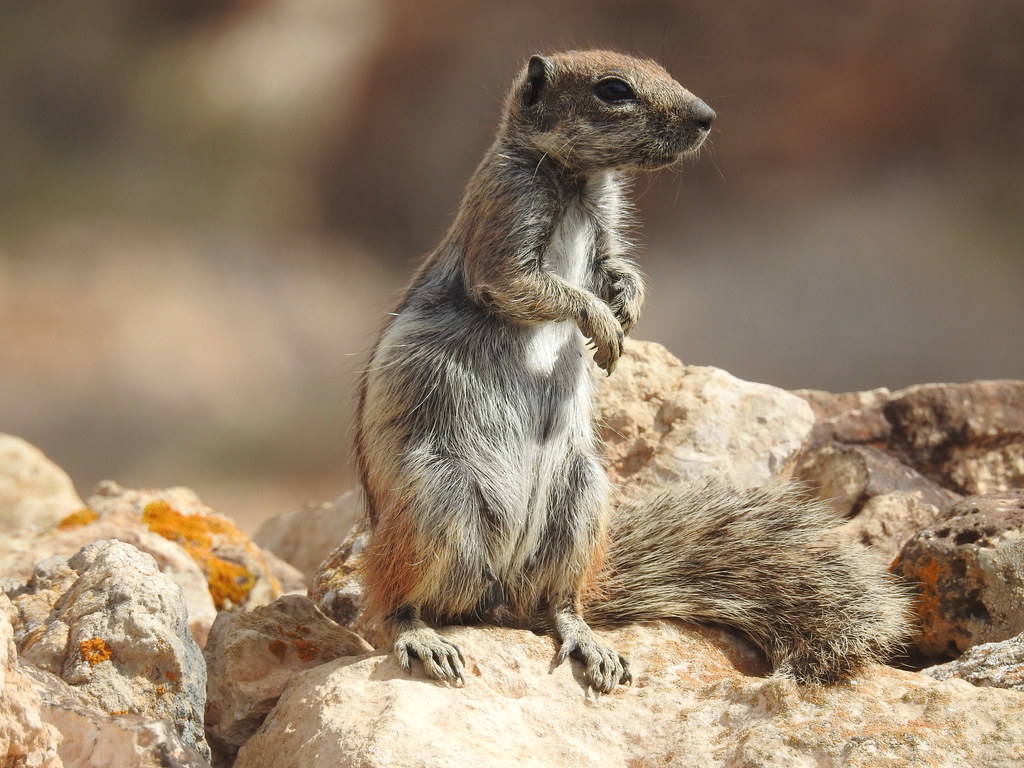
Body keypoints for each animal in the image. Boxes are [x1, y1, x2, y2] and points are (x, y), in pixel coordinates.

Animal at [355, 50, 909, 693]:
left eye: (660, 67)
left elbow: (616, 266)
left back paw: (590, 644)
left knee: (559, 605)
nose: (707, 117)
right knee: (394, 604)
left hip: (581, 499)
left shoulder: (607, 226)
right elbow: (522, 283)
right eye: (614, 90)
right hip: (434, 502)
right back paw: (423, 638)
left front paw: (628, 306)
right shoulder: (506, 211)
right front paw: (603, 326)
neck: (578, 182)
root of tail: (495, 598)